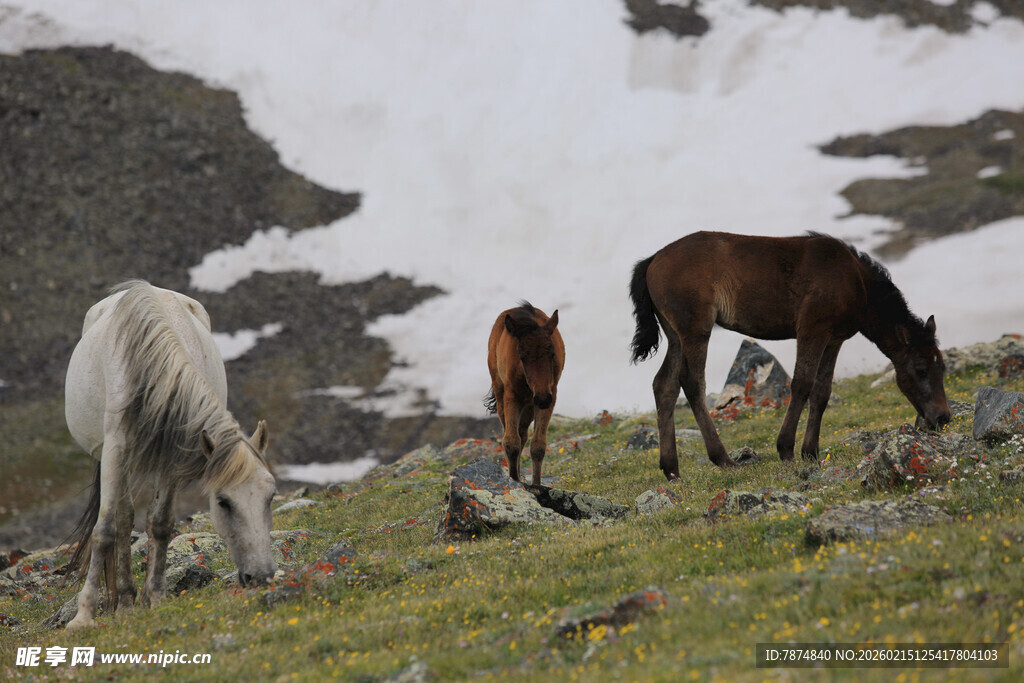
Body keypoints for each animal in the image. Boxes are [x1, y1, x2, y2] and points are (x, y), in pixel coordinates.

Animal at [63, 280, 277, 631]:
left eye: (271, 496)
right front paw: (83, 616)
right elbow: (104, 529)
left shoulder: (174, 456)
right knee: (121, 518)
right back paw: (123, 599)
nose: (261, 576)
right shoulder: (115, 449)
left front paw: (157, 597)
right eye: (223, 502)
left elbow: (161, 524)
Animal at [485, 302, 565, 486]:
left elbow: (538, 446)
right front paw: (514, 480)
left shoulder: (550, 396)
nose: (542, 398)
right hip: (501, 394)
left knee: (523, 435)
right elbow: (510, 442)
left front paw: (535, 485)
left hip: (529, 405)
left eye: (552, 354)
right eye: (522, 357)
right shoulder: (511, 395)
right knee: (512, 434)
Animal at [630, 231, 950, 481]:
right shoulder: (812, 328)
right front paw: (786, 449)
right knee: (692, 382)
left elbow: (822, 391)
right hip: (695, 328)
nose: (943, 417)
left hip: (675, 335)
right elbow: (802, 383)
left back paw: (671, 469)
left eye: (943, 369)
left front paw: (811, 452)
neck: (855, 282)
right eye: (921, 369)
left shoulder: (834, 339)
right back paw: (723, 459)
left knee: (664, 384)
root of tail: (652, 260)